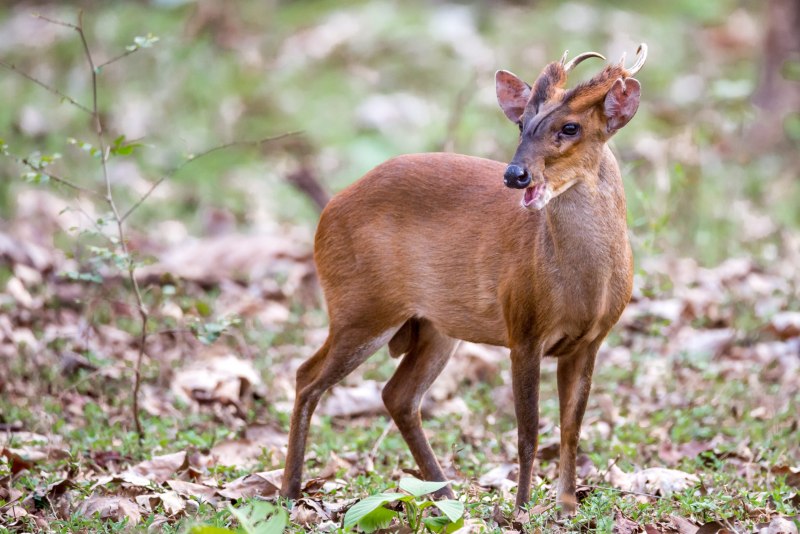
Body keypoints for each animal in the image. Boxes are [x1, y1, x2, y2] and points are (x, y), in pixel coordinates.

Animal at [278, 45, 648, 516]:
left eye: (570, 127)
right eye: (522, 124)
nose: (515, 175)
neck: (583, 288)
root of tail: (327, 212)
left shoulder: (590, 341)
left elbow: (571, 428)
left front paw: (567, 507)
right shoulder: (523, 328)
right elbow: (528, 431)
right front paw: (521, 509)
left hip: (432, 325)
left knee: (397, 395)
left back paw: (444, 493)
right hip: (361, 306)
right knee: (307, 375)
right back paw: (290, 491)